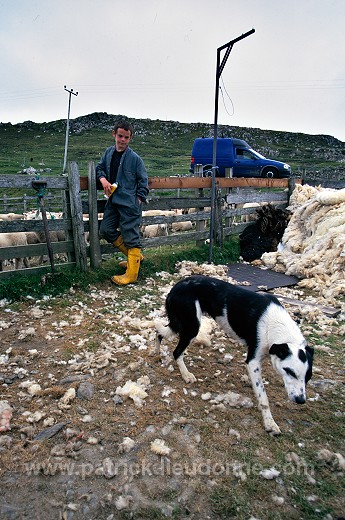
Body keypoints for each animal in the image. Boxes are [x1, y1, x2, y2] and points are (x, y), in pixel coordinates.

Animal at [155, 276, 312, 434]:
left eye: (308, 377)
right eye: (289, 371)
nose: (301, 400)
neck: (276, 325)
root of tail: (177, 286)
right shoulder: (253, 361)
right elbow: (263, 397)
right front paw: (269, 423)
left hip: (181, 324)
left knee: (159, 333)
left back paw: (157, 353)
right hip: (191, 326)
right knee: (176, 351)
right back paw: (186, 374)